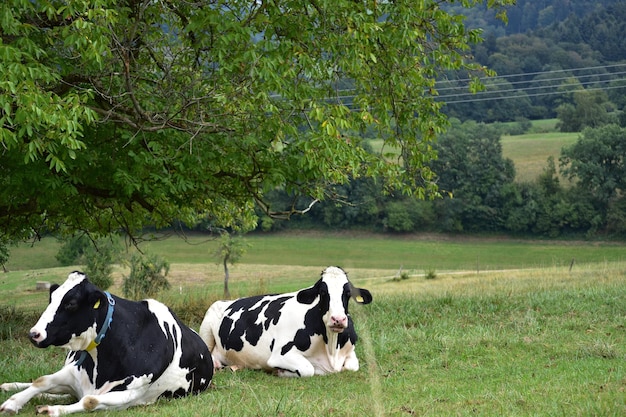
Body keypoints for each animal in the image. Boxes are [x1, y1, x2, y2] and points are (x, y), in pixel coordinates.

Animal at [0, 270, 212, 412]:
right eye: (51, 298)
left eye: (71, 303)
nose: (34, 334)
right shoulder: (73, 372)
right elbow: (41, 381)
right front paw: (12, 402)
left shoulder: (131, 394)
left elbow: (88, 401)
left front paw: (51, 410)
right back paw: (9, 386)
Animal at [197, 266, 370, 376]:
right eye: (322, 292)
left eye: (348, 293)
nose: (338, 319)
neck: (331, 348)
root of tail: (225, 301)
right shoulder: (280, 354)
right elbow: (308, 369)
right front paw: (280, 372)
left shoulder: (350, 352)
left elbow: (352, 366)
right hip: (206, 329)